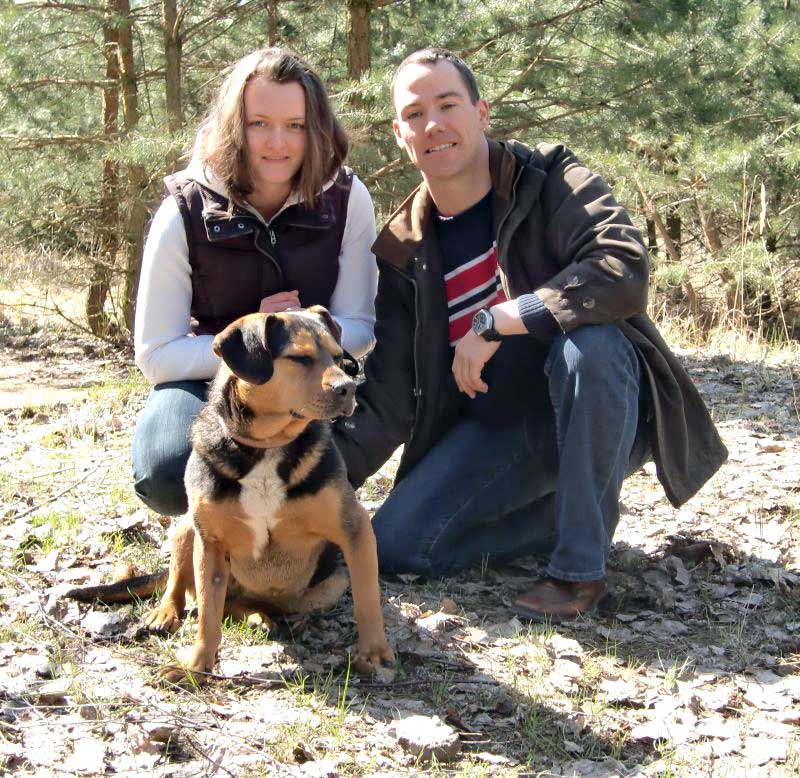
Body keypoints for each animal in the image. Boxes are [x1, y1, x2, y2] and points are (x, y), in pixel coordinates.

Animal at [70, 307, 395, 684]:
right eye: (299, 358)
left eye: (340, 358)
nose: (348, 389)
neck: (267, 447)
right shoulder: (211, 544)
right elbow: (208, 615)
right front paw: (196, 667)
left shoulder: (355, 529)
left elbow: (367, 599)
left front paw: (374, 652)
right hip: (186, 529)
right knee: (182, 587)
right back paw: (167, 613)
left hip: (327, 585)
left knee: (243, 605)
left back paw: (260, 616)